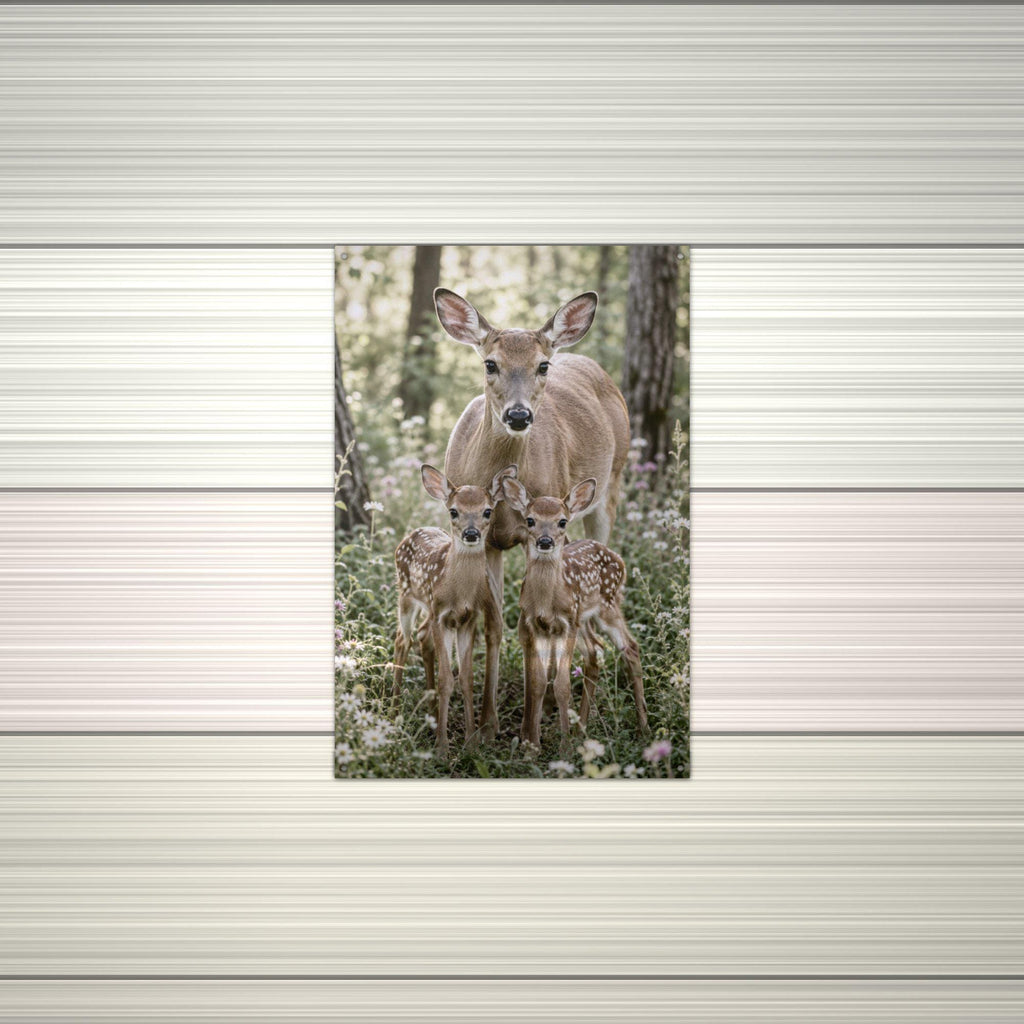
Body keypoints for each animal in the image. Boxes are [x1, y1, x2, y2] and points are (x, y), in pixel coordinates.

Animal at [392, 463, 517, 757]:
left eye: (487, 510)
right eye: (453, 511)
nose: (471, 534)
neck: (458, 591)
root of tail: (410, 534)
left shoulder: (467, 619)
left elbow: (466, 678)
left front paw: (471, 743)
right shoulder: (441, 616)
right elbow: (446, 679)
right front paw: (442, 748)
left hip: (427, 607)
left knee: (421, 638)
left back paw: (430, 713)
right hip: (406, 595)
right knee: (402, 640)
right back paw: (392, 712)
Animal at [434, 288, 631, 739]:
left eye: (542, 365)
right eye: (490, 363)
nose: (519, 415)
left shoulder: (534, 532)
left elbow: (528, 628)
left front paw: (528, 726)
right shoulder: (485, 540)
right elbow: (494, 626)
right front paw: (486, 725)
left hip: (610, 485)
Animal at [501, 475, 649, 752]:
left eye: (562, 521)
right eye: (530, 520)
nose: (545, 541)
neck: (546, 601)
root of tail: (619, 559)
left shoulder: (566, 623)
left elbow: (562, 685)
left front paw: (564, 747)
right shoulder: (537, 625)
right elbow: (538, 683)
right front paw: (532, 748)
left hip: (607, 606)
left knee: (630, 647)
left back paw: (643, 728)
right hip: (583, 620)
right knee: (595, 651)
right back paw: (582, 728)